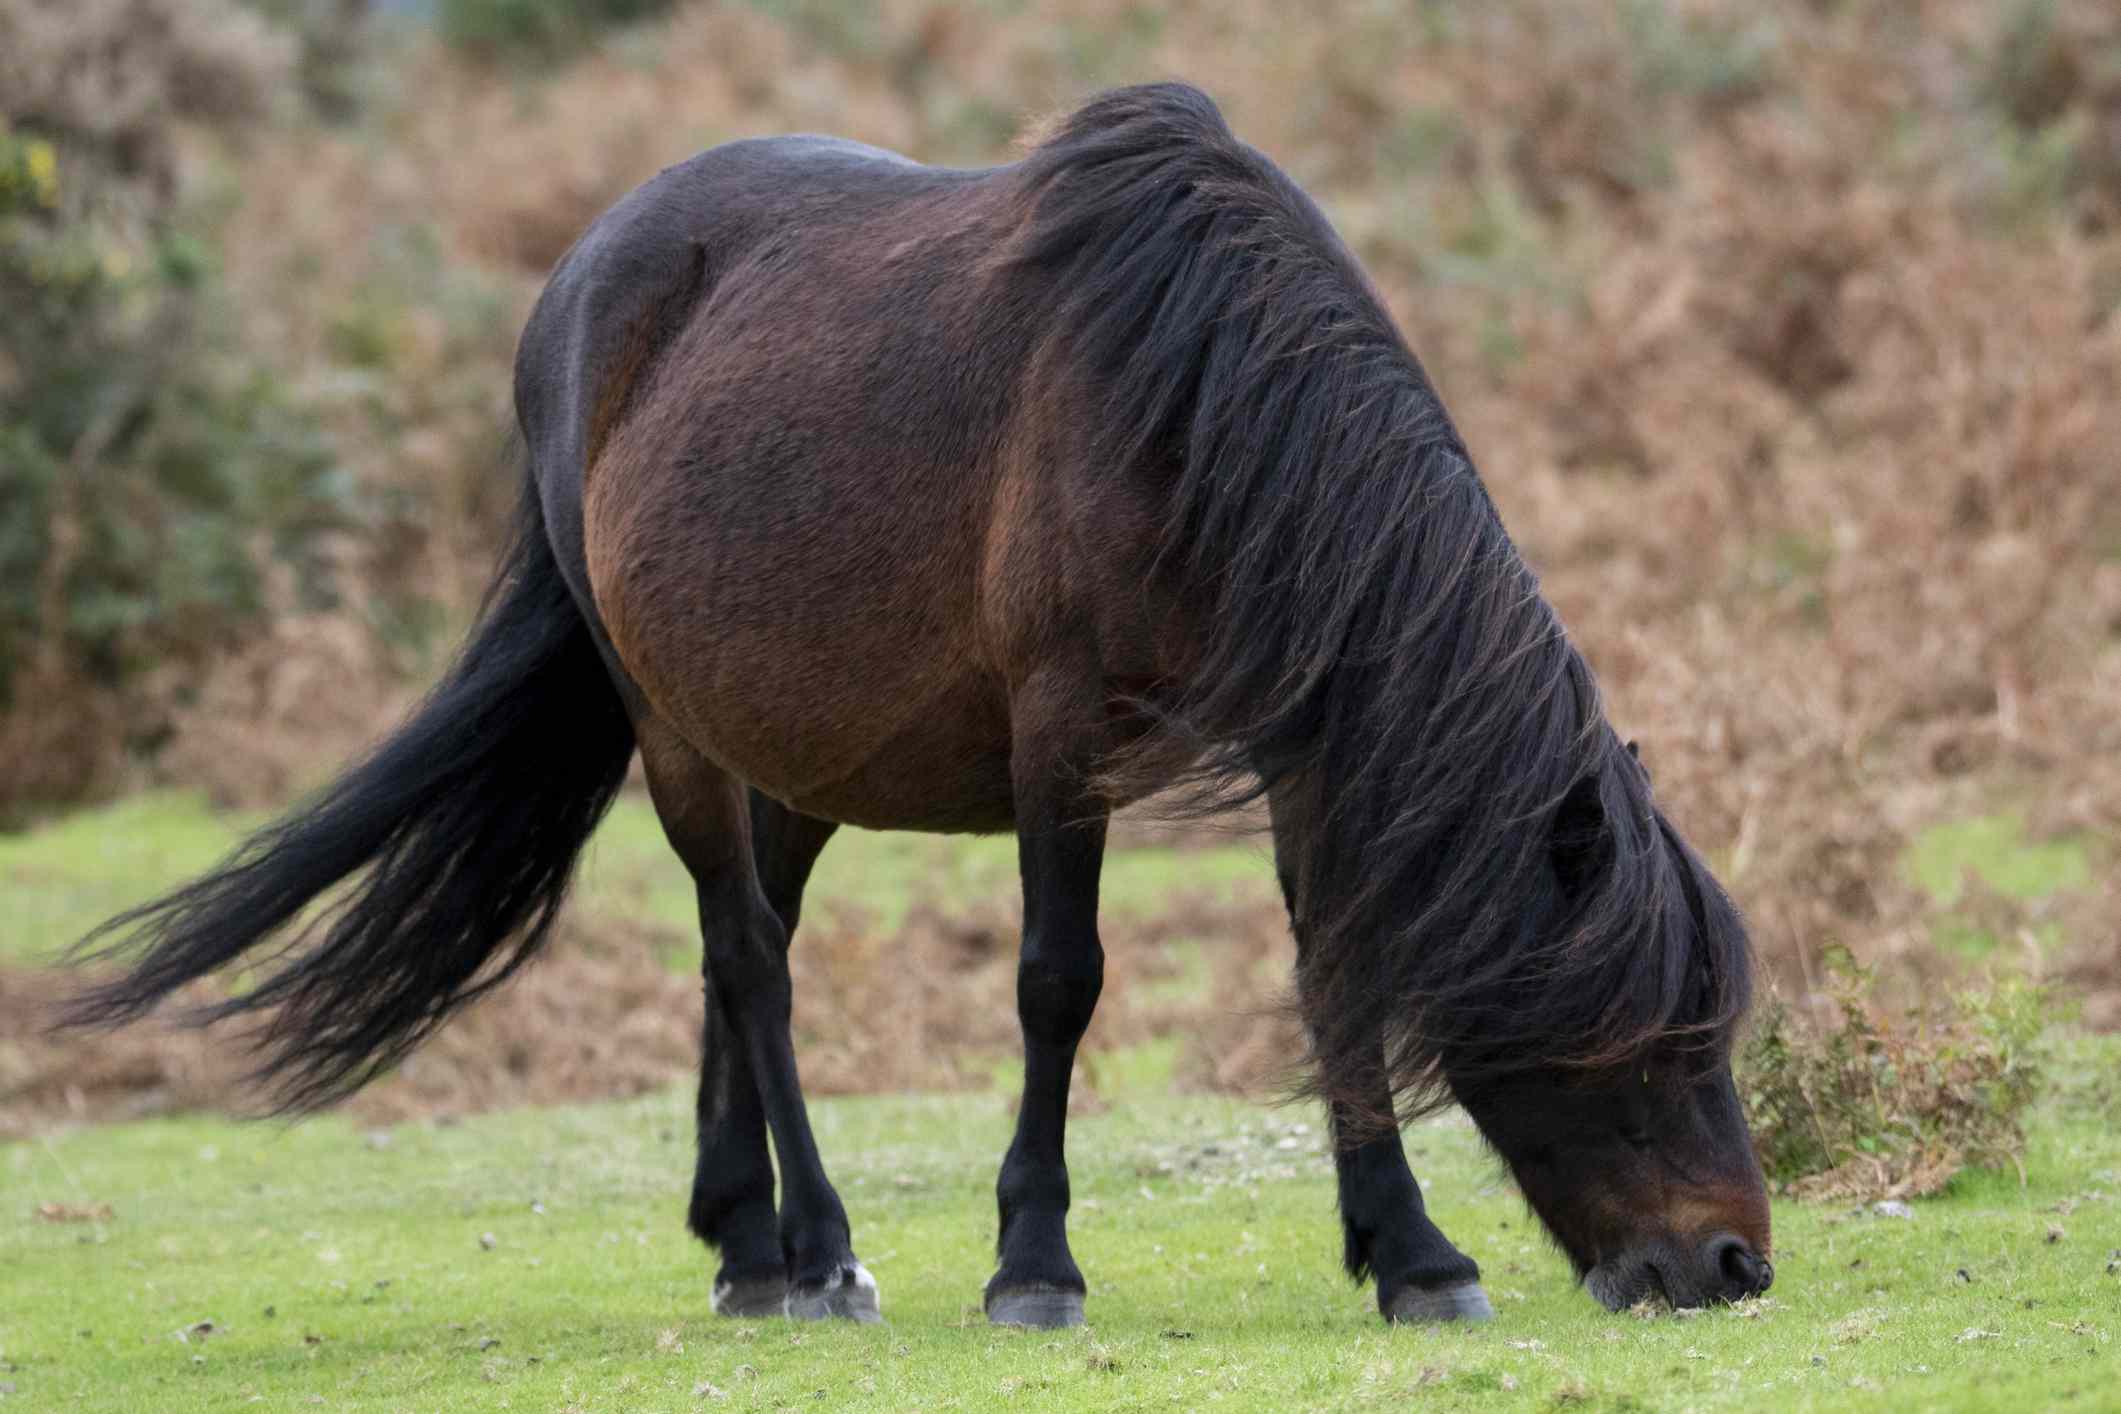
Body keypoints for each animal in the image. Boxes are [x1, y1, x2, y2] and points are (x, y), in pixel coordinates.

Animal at [66, 85, 1773, 1331]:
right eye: (1645, 1028)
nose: (1734, 1264)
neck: (1199, 401)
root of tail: (581, 280)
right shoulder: (1060, 730)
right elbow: (1056, 981)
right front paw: (1033, 1263)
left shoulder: (1302, 743)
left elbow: (1338, 972)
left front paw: (1414, 1255)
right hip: (672, 729)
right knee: (750, 961)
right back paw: (816, 1250)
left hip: (796, 756)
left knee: (742, 948)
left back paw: (743, 1240)